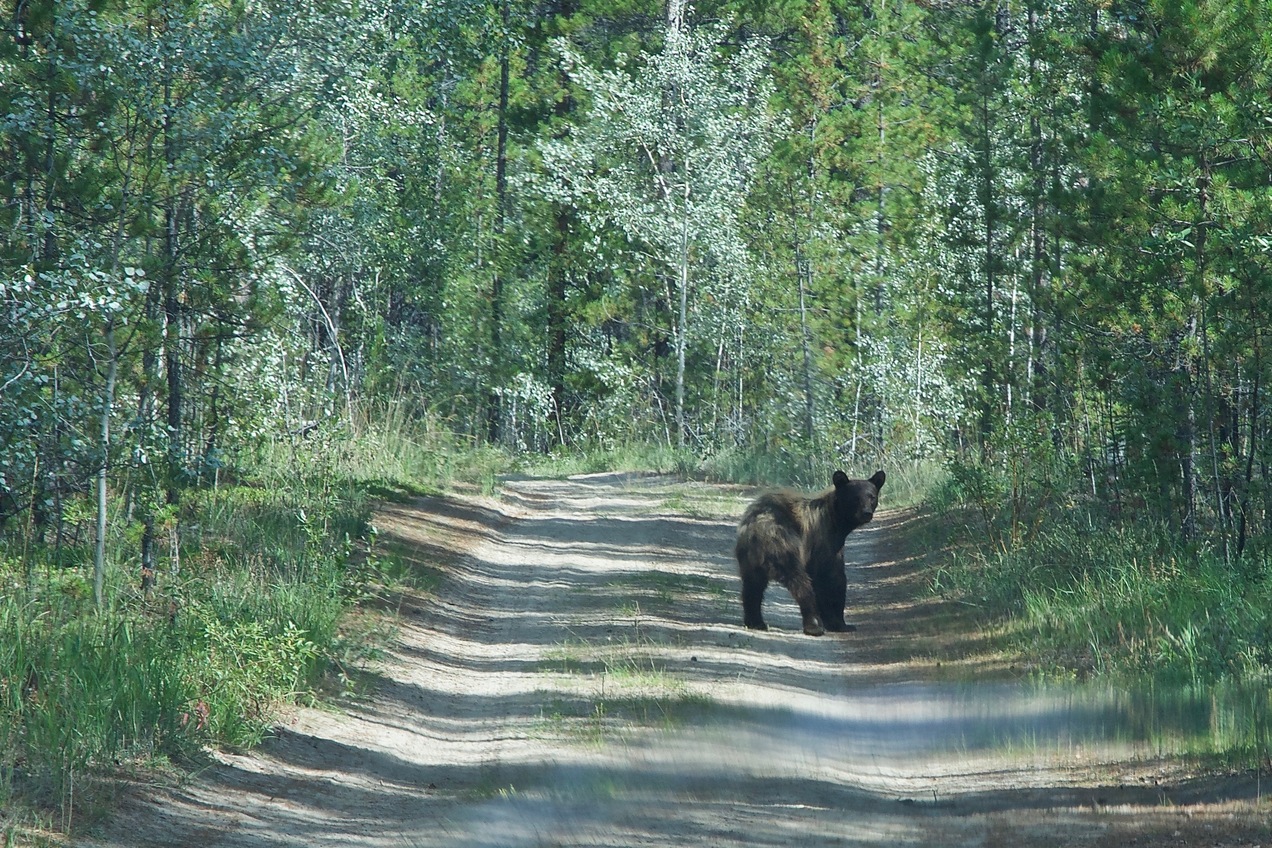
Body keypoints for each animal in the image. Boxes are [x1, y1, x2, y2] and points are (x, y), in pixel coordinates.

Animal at [737, 470, 885, 635]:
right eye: (855, 497)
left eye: (871, 496)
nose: (866, 513)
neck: (837, 522)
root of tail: (757, 529)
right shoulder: (823, 543)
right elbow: (832, 578)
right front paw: (839, 623)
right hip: (785, 547)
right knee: (799, 582)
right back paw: (813, 625)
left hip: (749, 559)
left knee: (752, 586)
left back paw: (756, 622)